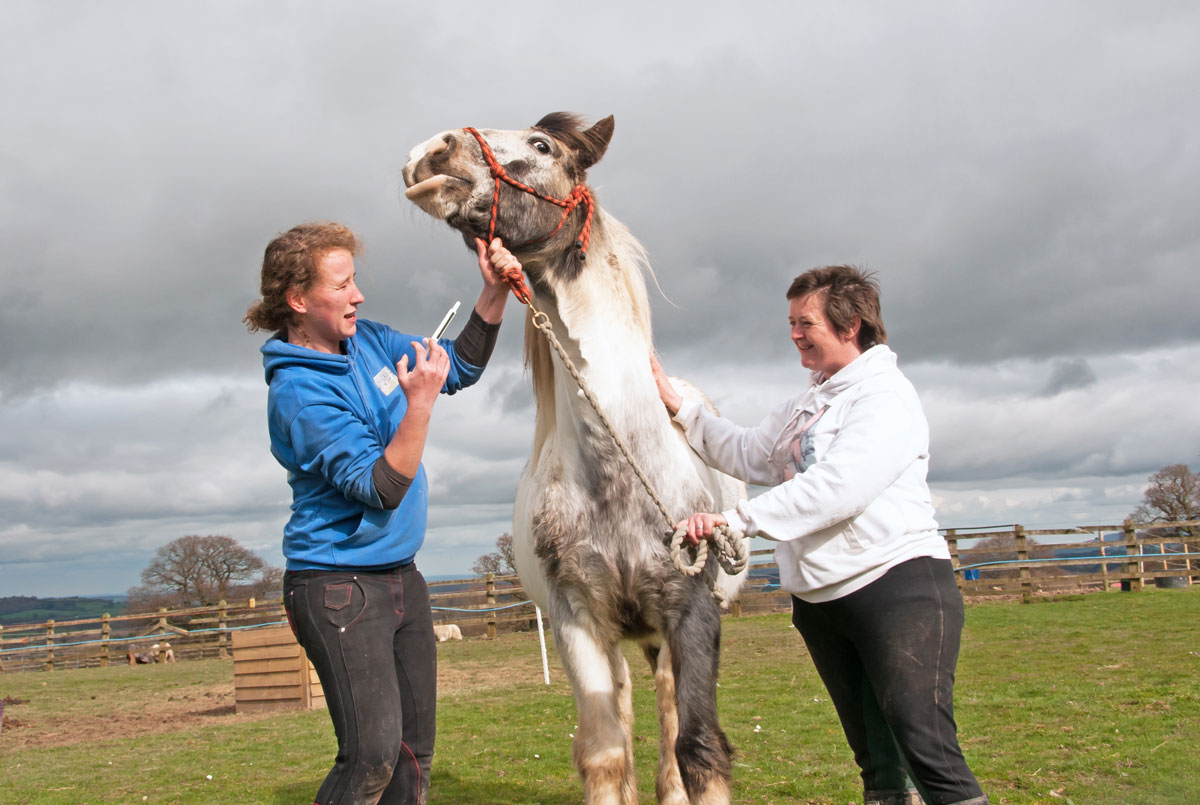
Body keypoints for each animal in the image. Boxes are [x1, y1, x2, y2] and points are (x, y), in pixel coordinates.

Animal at [403, 113, 748, 805]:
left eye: (541, 146)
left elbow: (700, 748)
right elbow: (604, 753)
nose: (429, 153)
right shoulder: (575, 620)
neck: (619, 466)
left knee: (670, 713)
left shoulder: (692, 613)